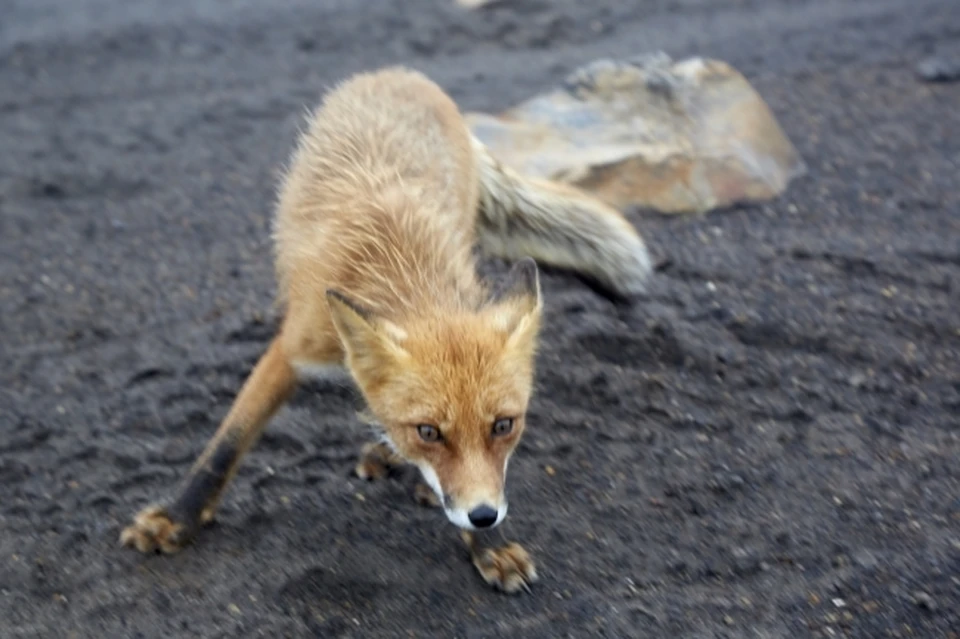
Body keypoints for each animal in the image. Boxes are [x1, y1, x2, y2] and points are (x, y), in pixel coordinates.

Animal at [120, 66, 652, 596]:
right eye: (429, 431)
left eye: (503, 425)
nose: (483, 517)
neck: (402, 266)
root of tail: (402, 73)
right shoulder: (293, 347)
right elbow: (226, 443)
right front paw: (176, 519)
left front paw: (487, 545)